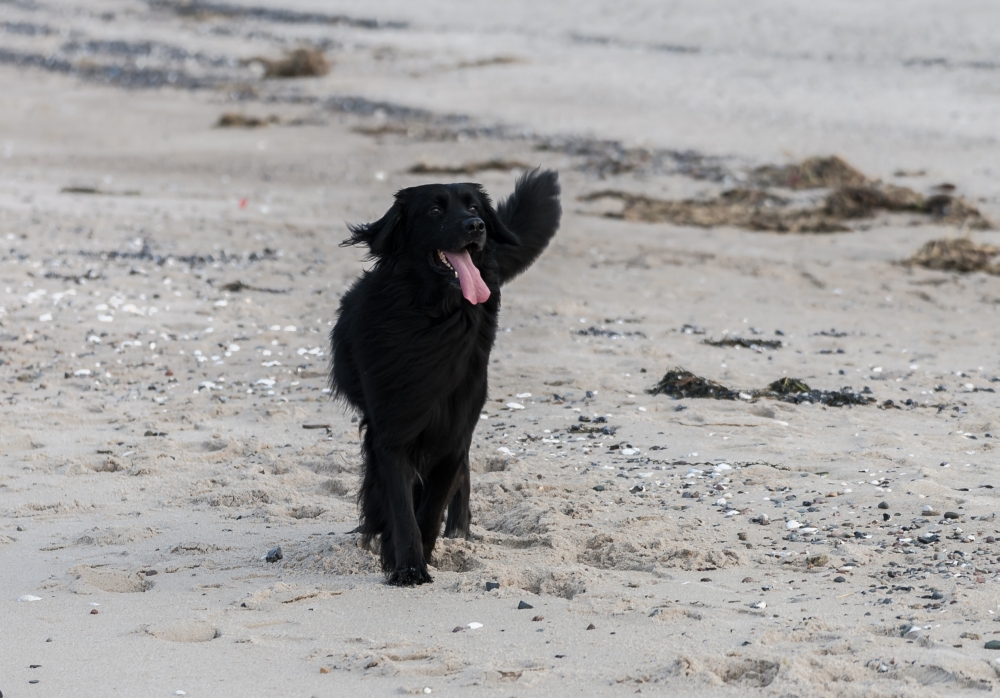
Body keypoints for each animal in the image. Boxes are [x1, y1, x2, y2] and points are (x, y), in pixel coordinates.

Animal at [330, 167, 560, 580]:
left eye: (474, 207)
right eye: (435, 210)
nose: (476, 226)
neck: (435, 322)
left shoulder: (454, 431)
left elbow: (432, 506)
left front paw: (420, 552)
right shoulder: (391, 432)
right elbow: (401, 506)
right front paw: (407, 567)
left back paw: (458, 532)